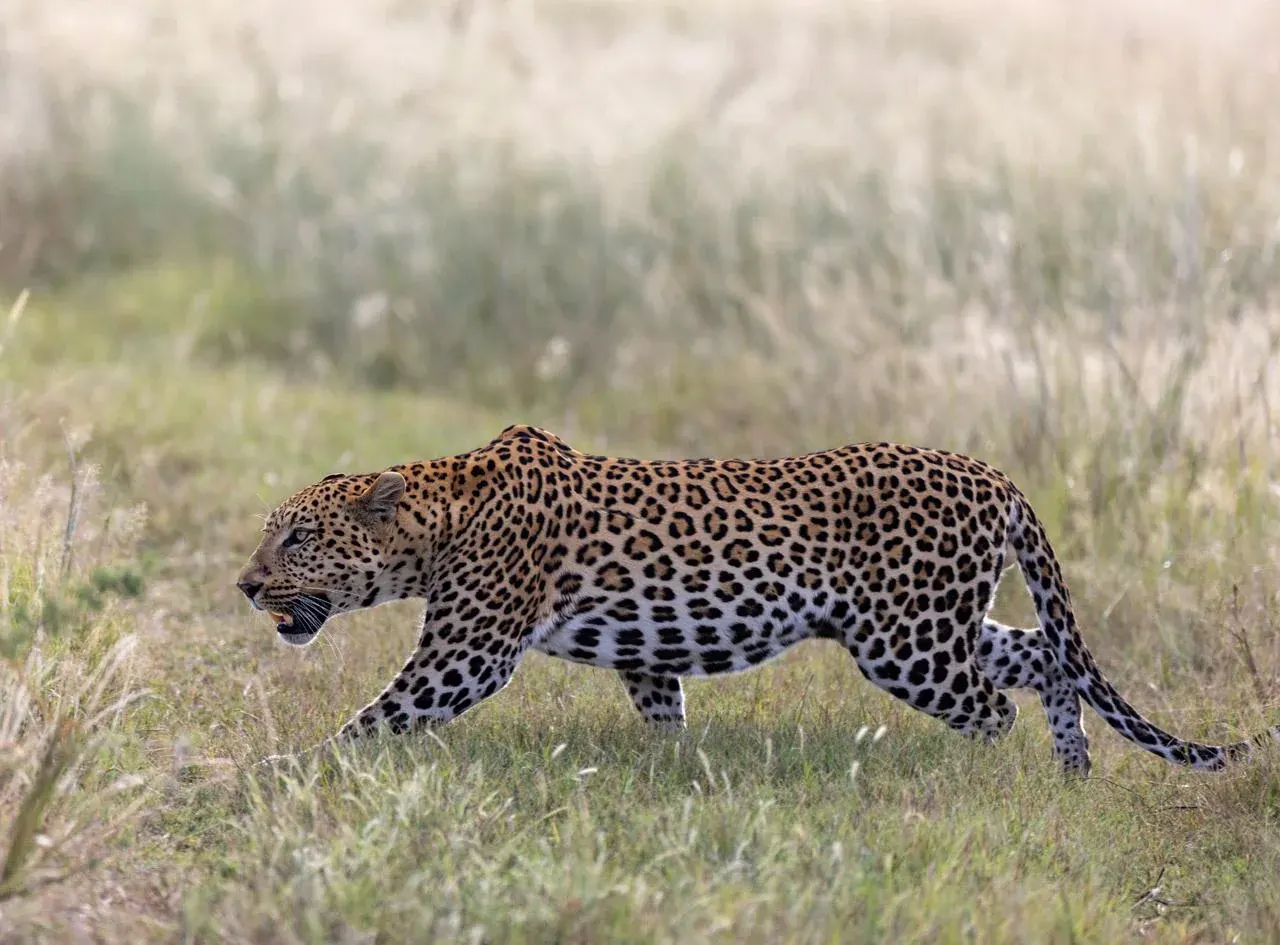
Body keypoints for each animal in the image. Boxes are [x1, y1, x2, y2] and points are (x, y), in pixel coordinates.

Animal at [236, 424, 1279, 775]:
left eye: (297, 537)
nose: (245, 584)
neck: (440, 512)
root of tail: (993, 473)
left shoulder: (465, 653)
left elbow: (371, 720)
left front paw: (275, 771)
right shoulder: (645, 650)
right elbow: (665, 714)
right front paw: (674, 776)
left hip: (909, 642)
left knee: (994, 706)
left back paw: (980, 782)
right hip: (929, 624)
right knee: (1041, 658)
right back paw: (1071, 775)